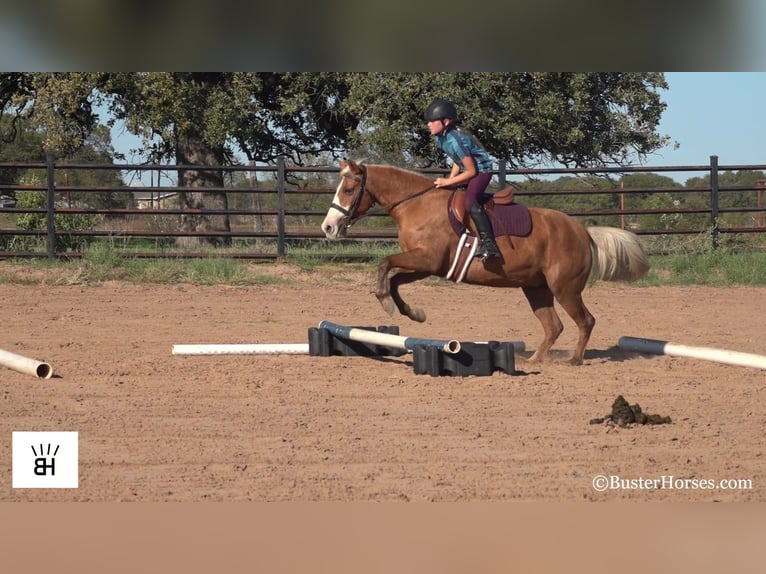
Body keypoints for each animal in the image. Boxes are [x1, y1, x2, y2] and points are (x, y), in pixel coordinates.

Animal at [320, 159, 652, 364]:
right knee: (554, 326)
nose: (328, 227)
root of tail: (583, 231)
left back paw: (574, 360)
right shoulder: (427, 265)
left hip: (565, 289)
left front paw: (385, 301)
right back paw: (536, 359)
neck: (416, 204)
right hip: (536, 289)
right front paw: (412, 312)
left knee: (585, 321)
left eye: (348, 189)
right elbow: (394, 277)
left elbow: (385, 265)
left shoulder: (427, 260)